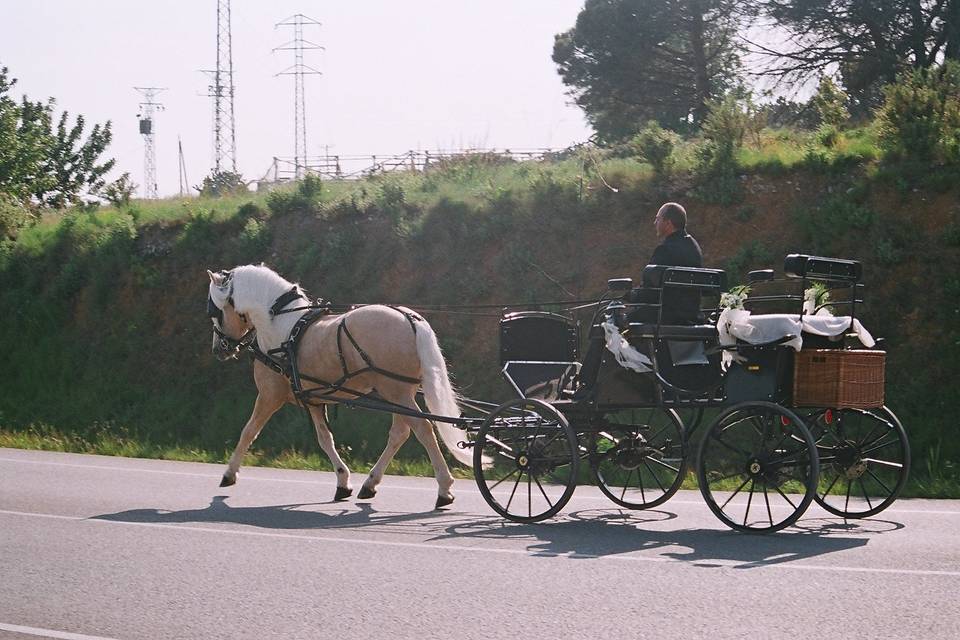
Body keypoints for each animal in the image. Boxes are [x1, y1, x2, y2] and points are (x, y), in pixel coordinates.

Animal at [206, 262, 472, 508]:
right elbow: (325, 439)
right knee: (401, 433)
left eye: (215, 312)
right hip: (400, 394)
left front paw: (229, 473)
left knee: (423, 429)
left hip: (396, 393)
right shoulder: (313, 400)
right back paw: (370, 484)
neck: (281, 327)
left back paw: (444, 488)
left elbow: (249, 431)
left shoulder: (269, 396)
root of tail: (410, 318)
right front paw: (343, 482)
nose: (219, 349)